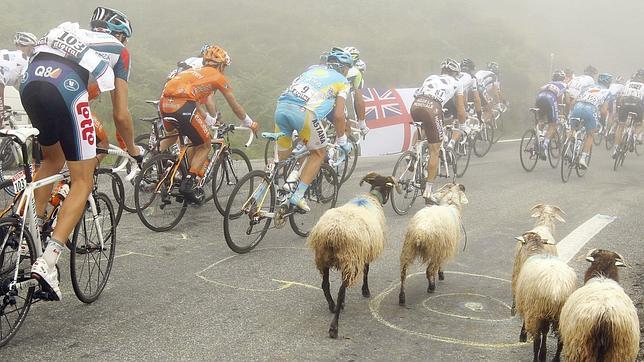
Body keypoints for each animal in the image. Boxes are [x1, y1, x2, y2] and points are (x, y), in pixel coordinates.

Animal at [306, 171, 398, 338]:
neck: (372, 197)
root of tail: (332, 233)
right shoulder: (364, 253)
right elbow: (367, 271)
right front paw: (365, 291)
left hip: (323, 258)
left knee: (325, 285)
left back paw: (332, 306)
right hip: (350, 259)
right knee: (341, 290)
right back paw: (334, 326)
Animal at [512, 232, 580, 362]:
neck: (535, 251)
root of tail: (556, 290)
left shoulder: (527, 304)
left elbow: (526, 323)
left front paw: (523, 335)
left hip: (538, 311)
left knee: (537, 339)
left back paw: (537, 357)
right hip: (560, 313)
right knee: (559, 338)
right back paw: (555, 358)